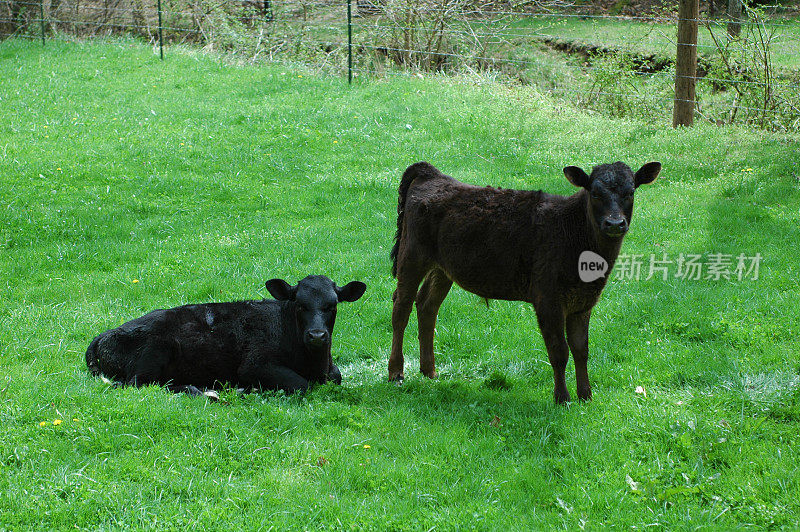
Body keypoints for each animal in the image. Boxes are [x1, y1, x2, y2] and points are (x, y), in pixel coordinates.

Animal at [86, 274, 368, 394]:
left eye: (332, 305)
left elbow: (336, 376)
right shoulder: (255, 365)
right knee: (137, 384)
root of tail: (107, 332)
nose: (317, 335)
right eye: (300, 304)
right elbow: (301, 385)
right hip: (156, 350)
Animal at [390, 160, 660, 402]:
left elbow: (581, 349)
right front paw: (562, 398)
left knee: (427, 305)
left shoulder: (583, 302)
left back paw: (429, 370)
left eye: (630, 192)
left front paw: (585, 396)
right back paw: (396, 372)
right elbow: (559, 351)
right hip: (411, 256)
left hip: (442, 268)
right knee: (401, 308)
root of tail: (432, 174)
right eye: (594, 193)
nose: (614, 223)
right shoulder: (548, 299)